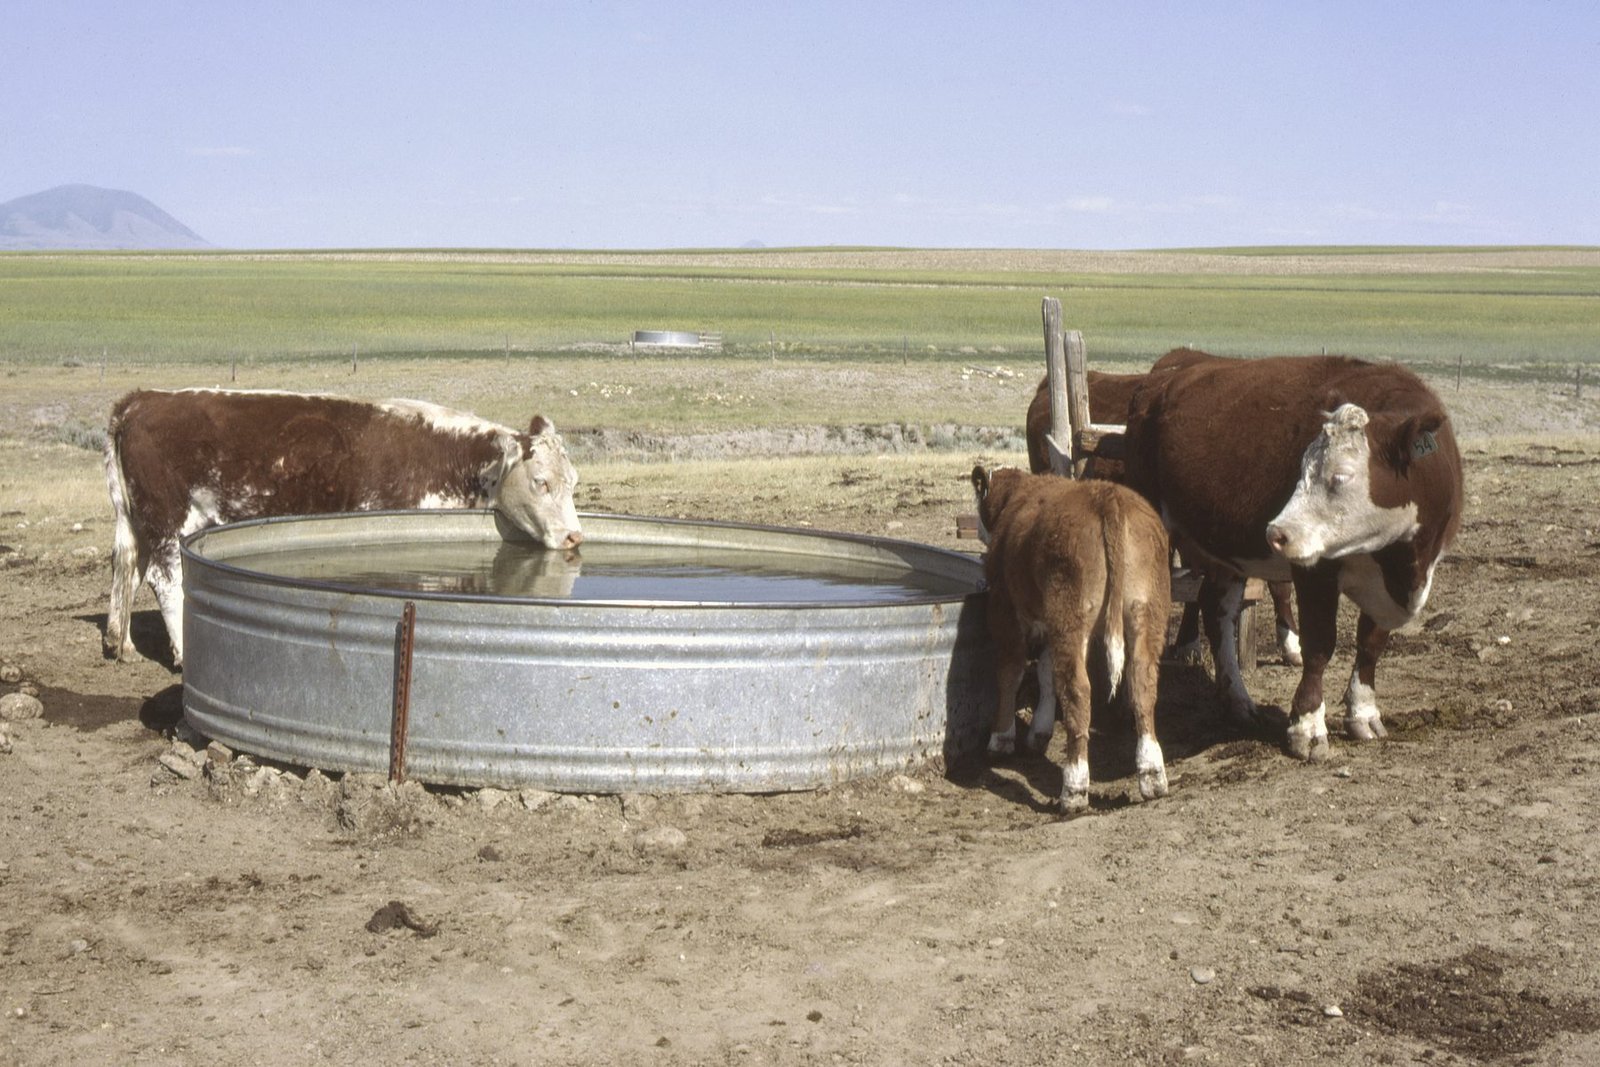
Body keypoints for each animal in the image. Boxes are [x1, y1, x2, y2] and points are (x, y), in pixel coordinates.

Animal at [102, 388, 583, 667]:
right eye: (541, 481)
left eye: (574, 480)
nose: (575, 536)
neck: (448, 458)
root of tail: (142, 399)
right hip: (169, 518)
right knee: (165, 579)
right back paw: (184, 652)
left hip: (136, 519)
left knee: (126, 565)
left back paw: (121, 644)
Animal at [971, 465, 1173, 812]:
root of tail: (1108, 497)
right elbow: (1046, 672)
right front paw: (1038, 732)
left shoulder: (1004, 607)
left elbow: (1011, 671)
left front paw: (1001, 738)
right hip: (1146, 611)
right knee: (1142, 682)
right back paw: (1152, 775)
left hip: (1070, 615)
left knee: (1078, 689)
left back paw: (1074, 788)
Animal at [1122, 354, 1463, 761]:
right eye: (1301, 469)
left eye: (1341, 476)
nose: (1276, 533)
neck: (1401, 564)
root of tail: (1166, 376)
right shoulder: (1316, 572)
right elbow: (1318, 646)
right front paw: (1308, 727)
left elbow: (1371, 642)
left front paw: (1363, 713)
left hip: (1223, 553)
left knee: (1215, 609)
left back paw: (1237, 702)